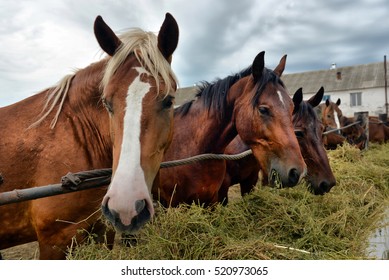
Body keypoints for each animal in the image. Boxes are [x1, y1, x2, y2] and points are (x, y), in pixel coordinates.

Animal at [0, 13, 179, 258]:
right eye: (106, 102)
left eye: (169, 101)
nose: (126, 207)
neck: (75, 133)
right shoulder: (53, 241)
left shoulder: (102, 229)